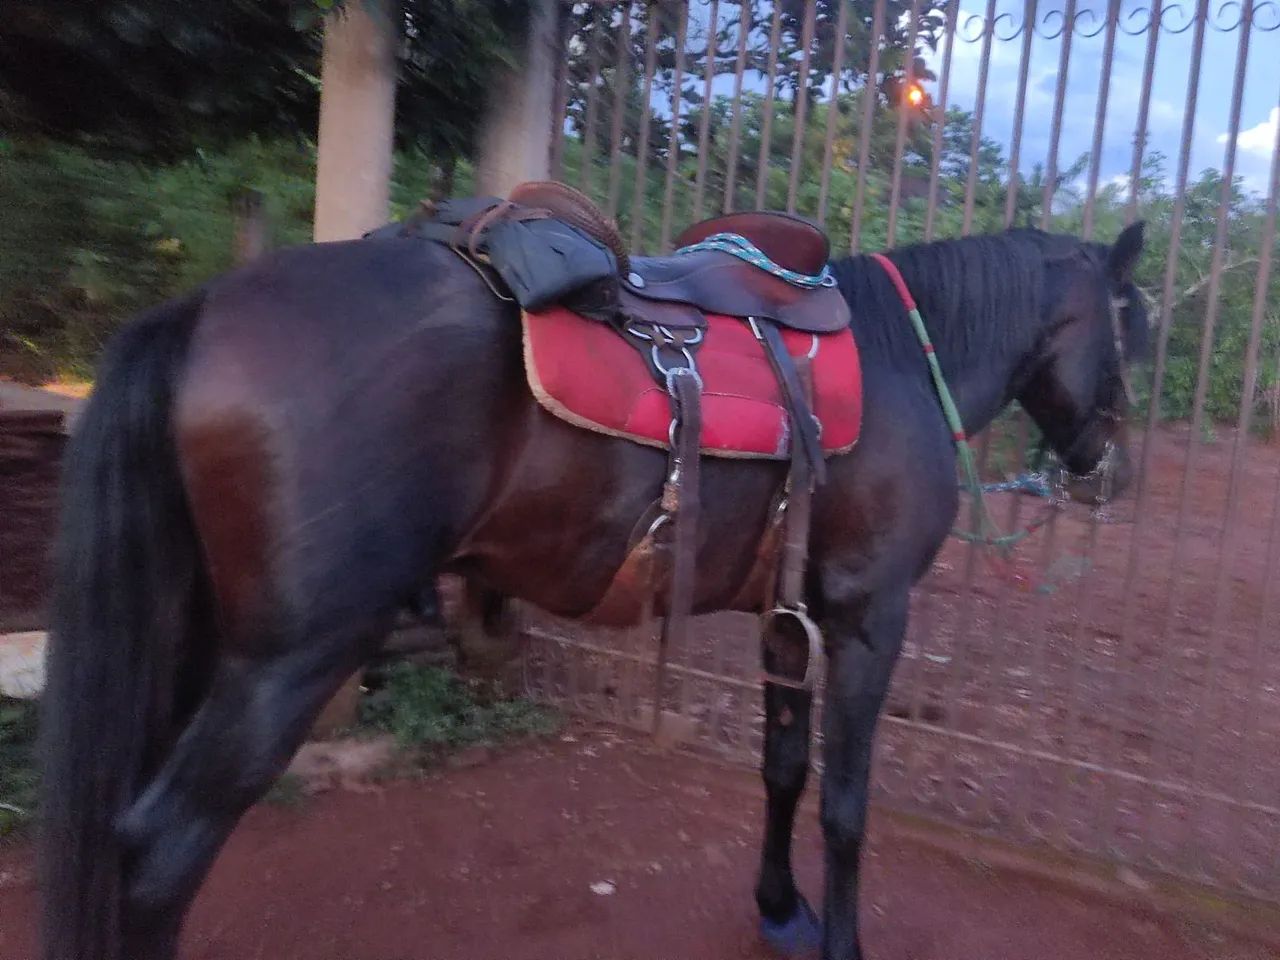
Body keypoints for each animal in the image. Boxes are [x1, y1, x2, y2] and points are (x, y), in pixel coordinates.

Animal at [37, 209, 1148, 960]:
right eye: (1132, 321)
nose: (1114, 473)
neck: (896, 359)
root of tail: (199, 309)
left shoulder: (785, 620)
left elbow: (783, 771)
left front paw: (778, 909)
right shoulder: (870, 618)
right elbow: (845, 804)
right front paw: (837, 938)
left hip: (199, 642)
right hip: (284, 664)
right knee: (159, 850)